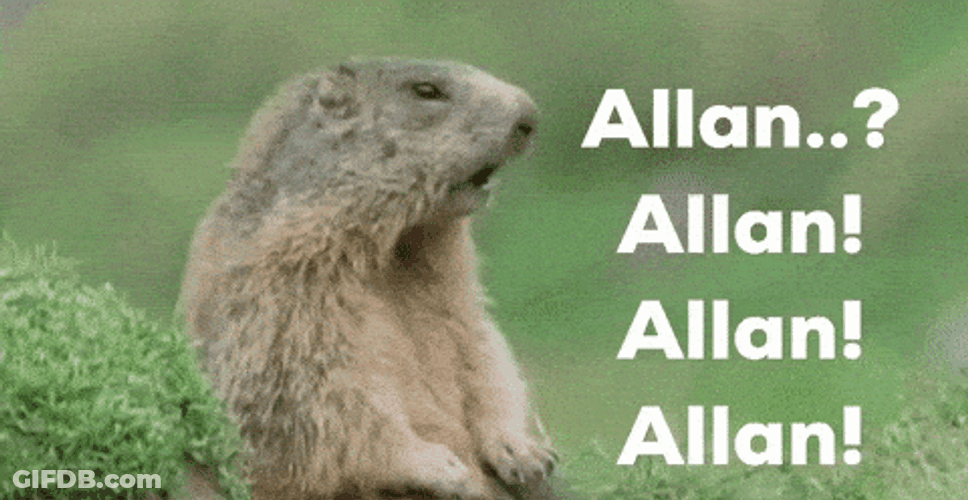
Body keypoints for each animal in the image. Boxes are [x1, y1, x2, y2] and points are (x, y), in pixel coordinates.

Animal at [177, 58, 558, 500]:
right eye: (426, 90)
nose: (531, 116)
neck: (400, 249)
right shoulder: (280, 294)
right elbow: (315, 392)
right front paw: (441, 466)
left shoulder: (458, 292)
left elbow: (483, 353)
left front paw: (523, 451)